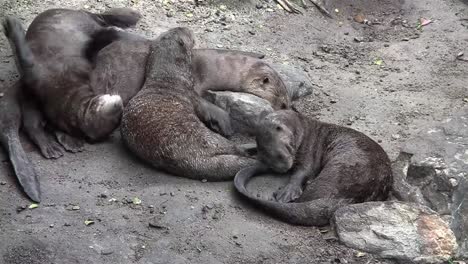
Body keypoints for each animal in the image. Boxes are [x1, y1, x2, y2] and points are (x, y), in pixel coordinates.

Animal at [120, 27, 256, 182]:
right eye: (184, 32)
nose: (187, 28)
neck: (168, 79)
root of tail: (195, 159)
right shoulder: (192, 95)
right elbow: (210, 109)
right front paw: (225, 124)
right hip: (210, 139)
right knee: (233, 147)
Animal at [233, 110, 392, 226]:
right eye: (266, 156)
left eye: (280, 155)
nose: (281, 169)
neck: (305, 131)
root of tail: (352, 197)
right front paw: (245, 148)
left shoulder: (310, 148)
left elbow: (303, 171)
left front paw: (288, 191)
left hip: (339, 171)